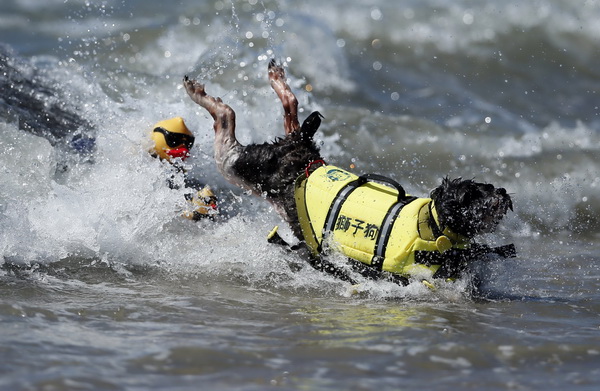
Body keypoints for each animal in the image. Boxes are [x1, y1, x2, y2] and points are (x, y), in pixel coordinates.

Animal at [180, 61, 512, 288]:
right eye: (471, 196)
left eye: (486, 186)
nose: (502, 193)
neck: (432, 226)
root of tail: (306, 160)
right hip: (240, 166)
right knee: (227, 121)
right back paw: (199, 92)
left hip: (277, 166)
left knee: (291, 114)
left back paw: (277, 79)